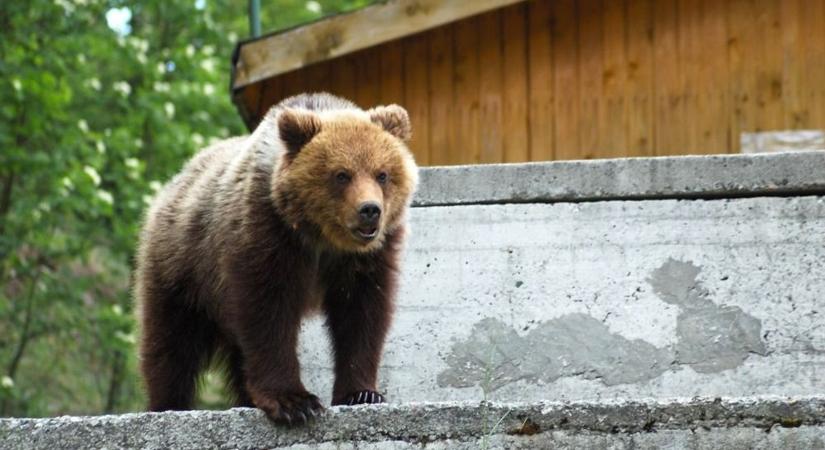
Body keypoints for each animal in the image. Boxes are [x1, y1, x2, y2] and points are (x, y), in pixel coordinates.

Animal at [138, 92, 418, 426]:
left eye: (382, 174)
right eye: (341, 175)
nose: (370, 210)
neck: (321, 237)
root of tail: (176, 180)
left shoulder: (366, 259)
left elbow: (362, 313)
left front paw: (362, 393)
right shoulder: (268, 233)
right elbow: (268, 311)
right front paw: (294, 402)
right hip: (183, 267)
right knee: (171, 343)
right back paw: (168, 405)